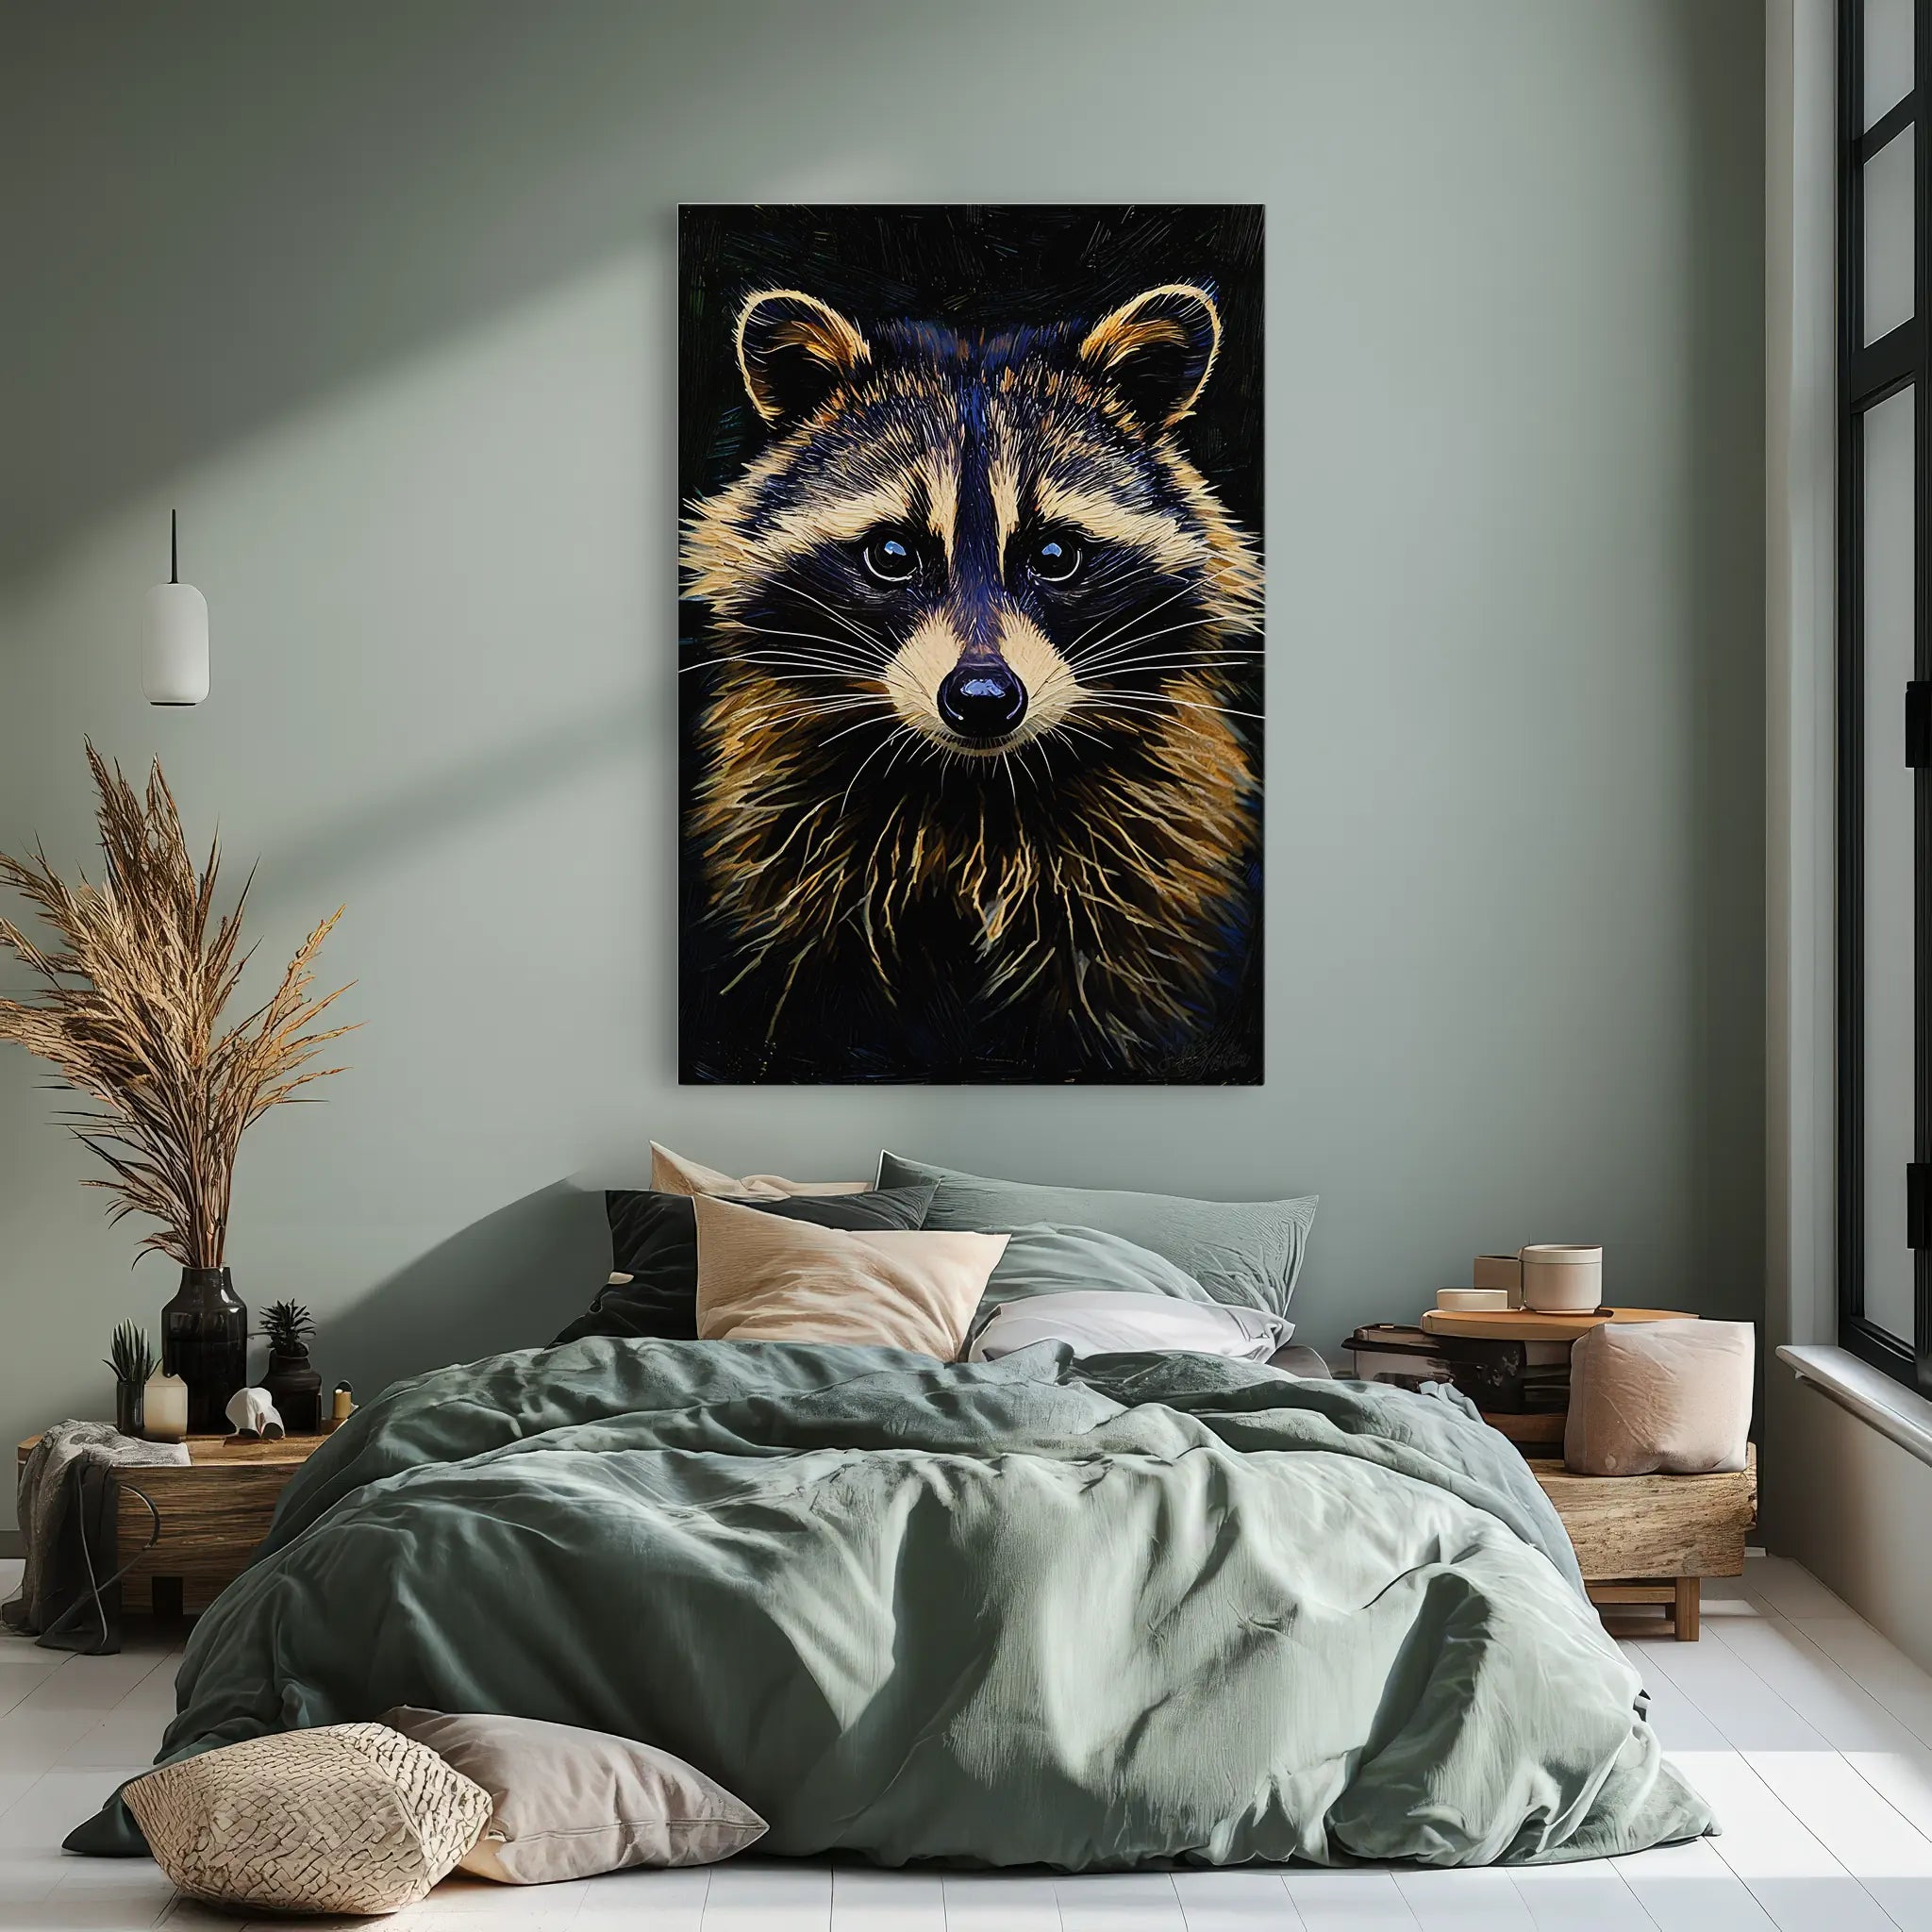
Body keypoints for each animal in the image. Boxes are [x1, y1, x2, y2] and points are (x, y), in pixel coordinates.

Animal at [681, 281, 1263, 1081]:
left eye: (1055, 554)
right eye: (892, 553)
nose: (982, 700)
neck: (971, 789)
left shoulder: (1149, 863)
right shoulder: (790, 854)